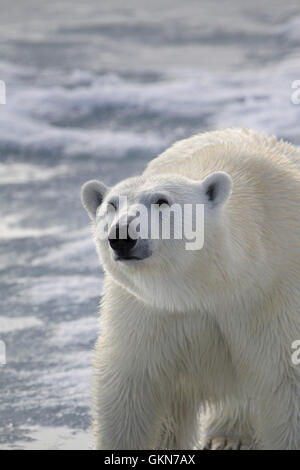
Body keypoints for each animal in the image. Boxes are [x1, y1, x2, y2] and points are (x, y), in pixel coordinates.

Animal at [81, 129, 300, 452]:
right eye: (111, 205)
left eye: (162, 201)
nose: (122, 236)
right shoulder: (151, 309)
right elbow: (131, 382)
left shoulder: (275, 294)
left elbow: (287, 377)